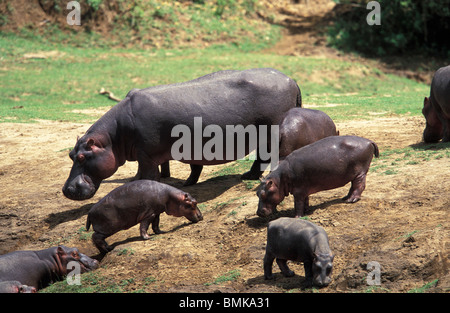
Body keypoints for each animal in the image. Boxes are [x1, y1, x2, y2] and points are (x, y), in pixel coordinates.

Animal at [62, 68, 302, 200]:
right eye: (71, 155)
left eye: (82, 156)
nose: (66, 189)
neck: (112, 138)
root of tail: (291, 79)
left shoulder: (147, 156)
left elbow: (149, 176)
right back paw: (248, 175)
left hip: (271, 132)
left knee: (265, 156)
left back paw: (251, 177)